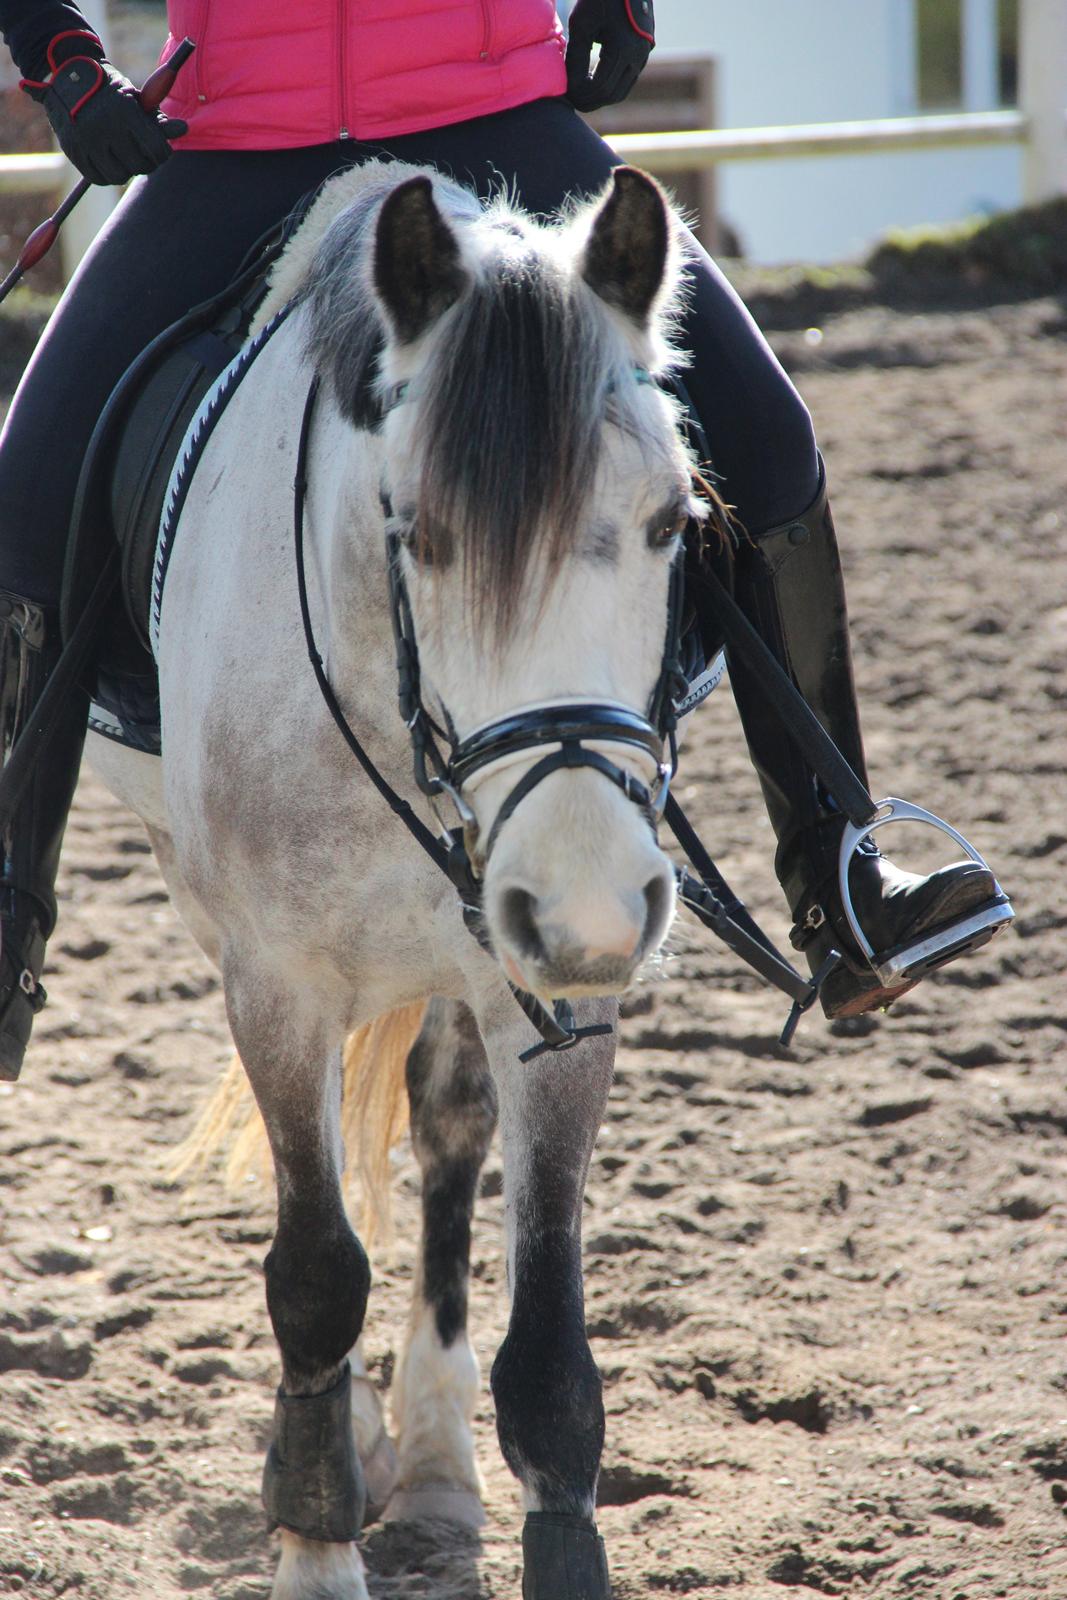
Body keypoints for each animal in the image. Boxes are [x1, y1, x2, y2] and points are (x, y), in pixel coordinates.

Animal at [86, 157, 710, 1600]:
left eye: (669, 523)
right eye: (415, 534)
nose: (587, 908)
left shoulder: (550, 994)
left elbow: (547, 1351)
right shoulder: (277, 981)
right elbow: (316, 1268)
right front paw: (315, 1537)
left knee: (441, 1136)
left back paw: (424, 1464)